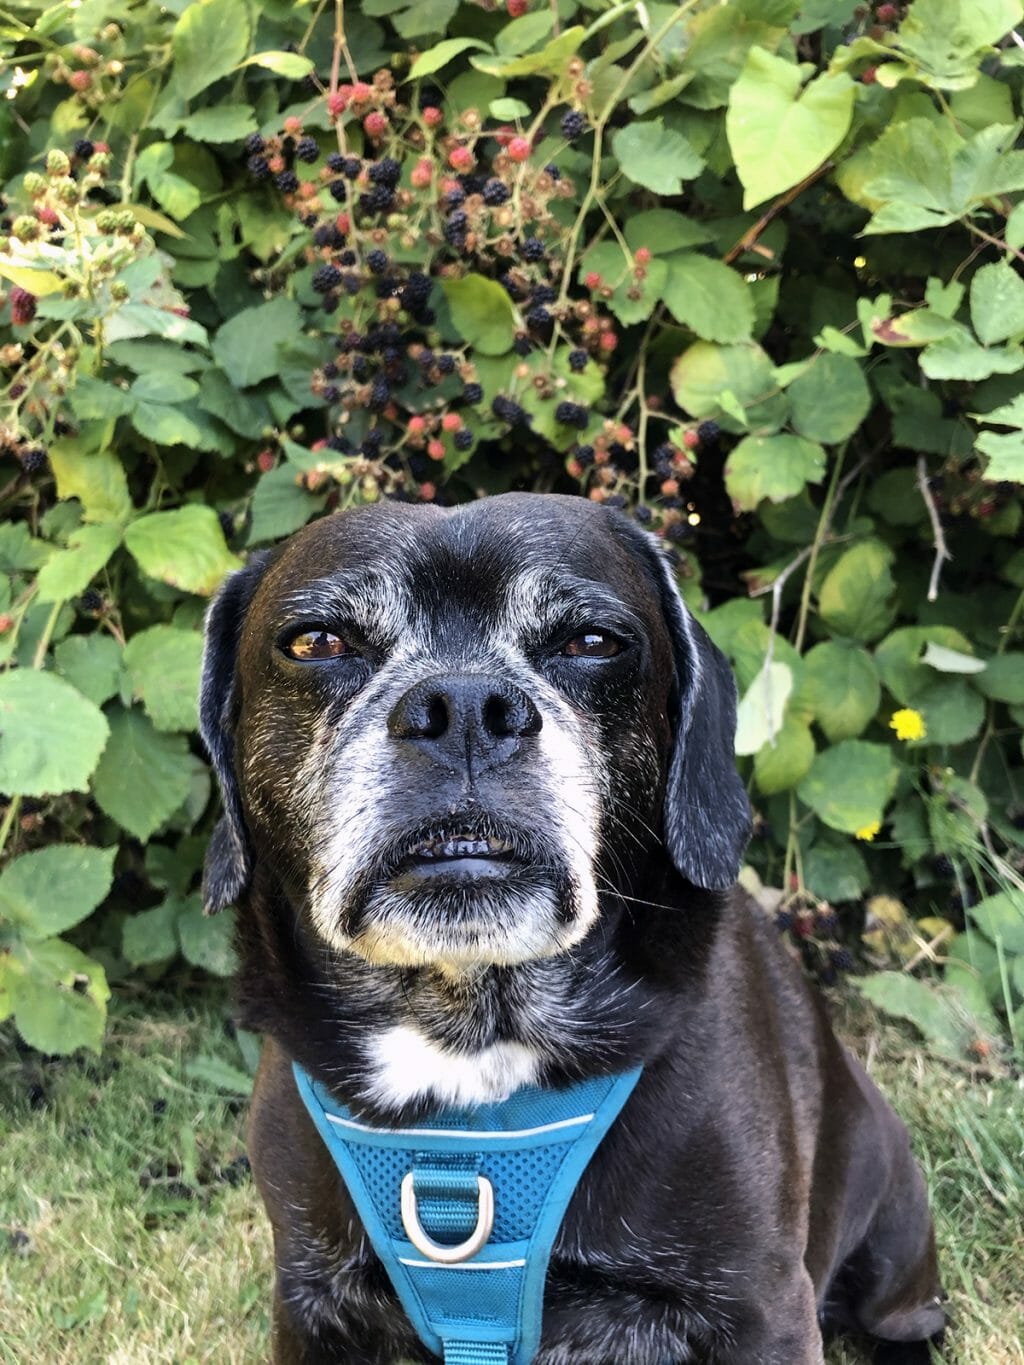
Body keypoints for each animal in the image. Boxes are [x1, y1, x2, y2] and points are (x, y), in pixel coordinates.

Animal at [197, 494, 944, 1365]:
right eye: (318, 641)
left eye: (592, 641)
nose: (463, 706)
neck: (470, 1031)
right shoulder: (314, 1302)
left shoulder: (761, 1304)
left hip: (893, 1226)